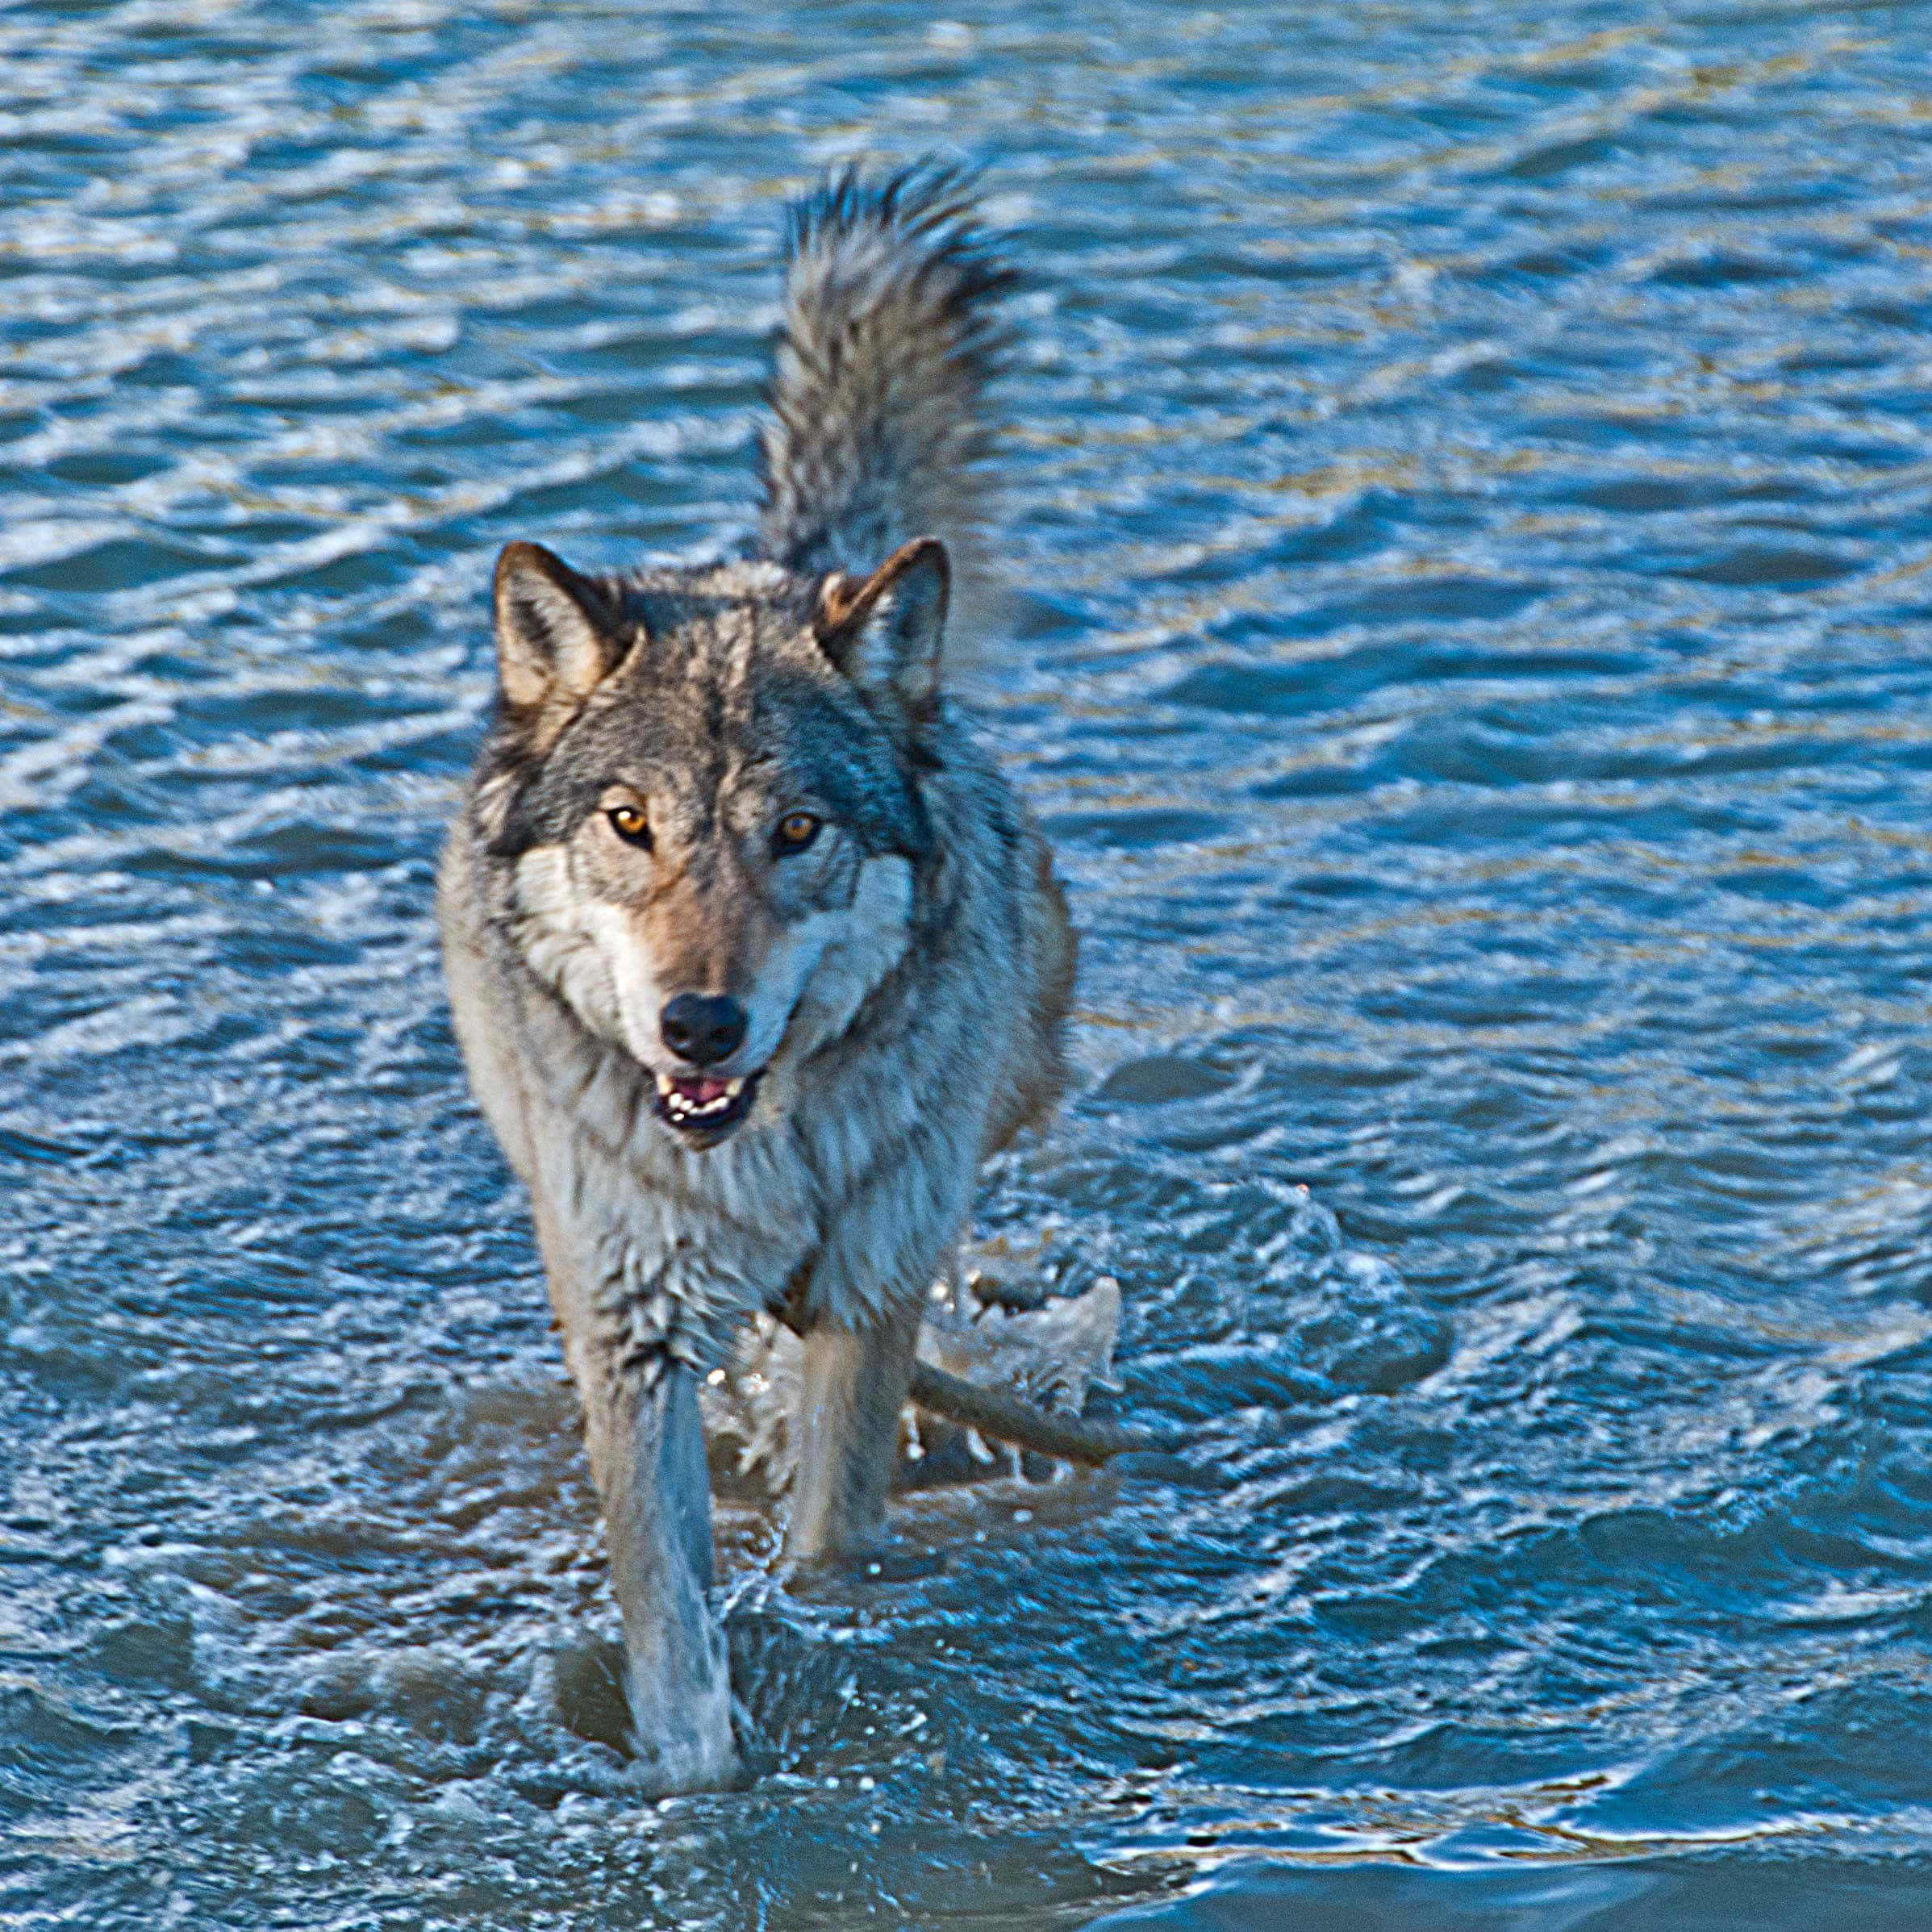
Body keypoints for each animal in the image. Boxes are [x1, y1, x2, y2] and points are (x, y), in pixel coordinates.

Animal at [437, 168, 1076, 1790]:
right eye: (630, 826)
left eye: (794, 832)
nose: (698, 1023)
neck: (762, 1160)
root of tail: (772, 569)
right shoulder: (632, 1326)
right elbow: (668, 1607)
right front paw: (694, 1781)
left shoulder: (864, 1290)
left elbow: (829, 1543)